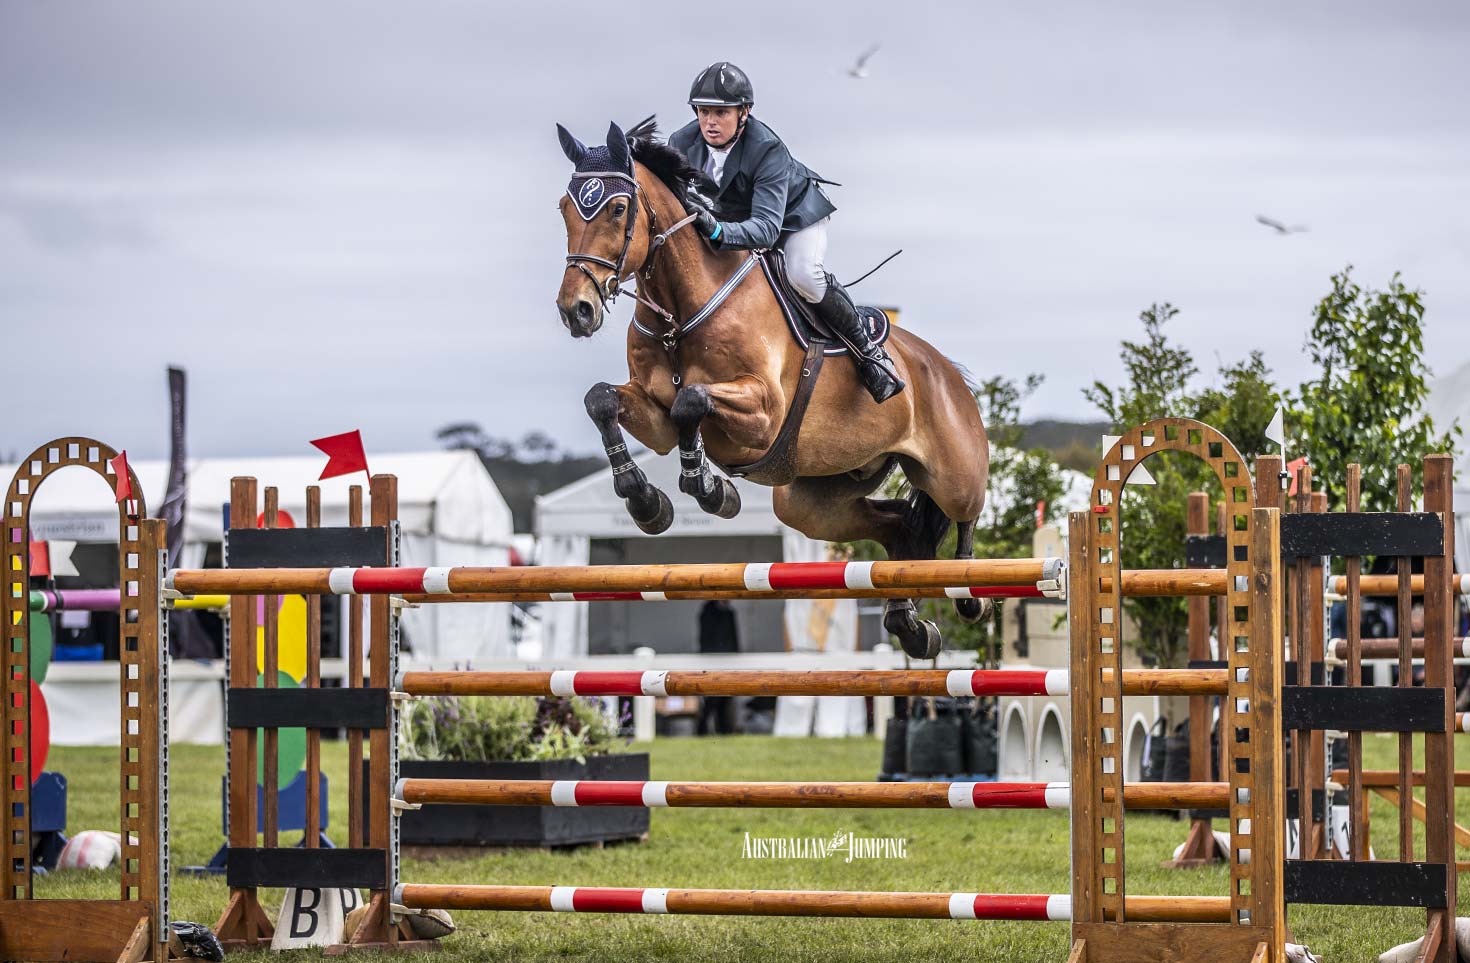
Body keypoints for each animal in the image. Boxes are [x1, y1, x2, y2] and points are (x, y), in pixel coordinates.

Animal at [555, 116, 993, 658]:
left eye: (618, 209)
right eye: (564, 208)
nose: (576, 310)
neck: (680, 310)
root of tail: (947, 370)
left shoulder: (763, 412)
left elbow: (691, 401)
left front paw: (709, 489)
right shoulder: (653, 416)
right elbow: (603, 400)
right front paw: (647, 502)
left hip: (952, 472)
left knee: (965, 510)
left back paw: (970, 596)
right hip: (812, 500)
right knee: (895, 526)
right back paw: (909, 626)